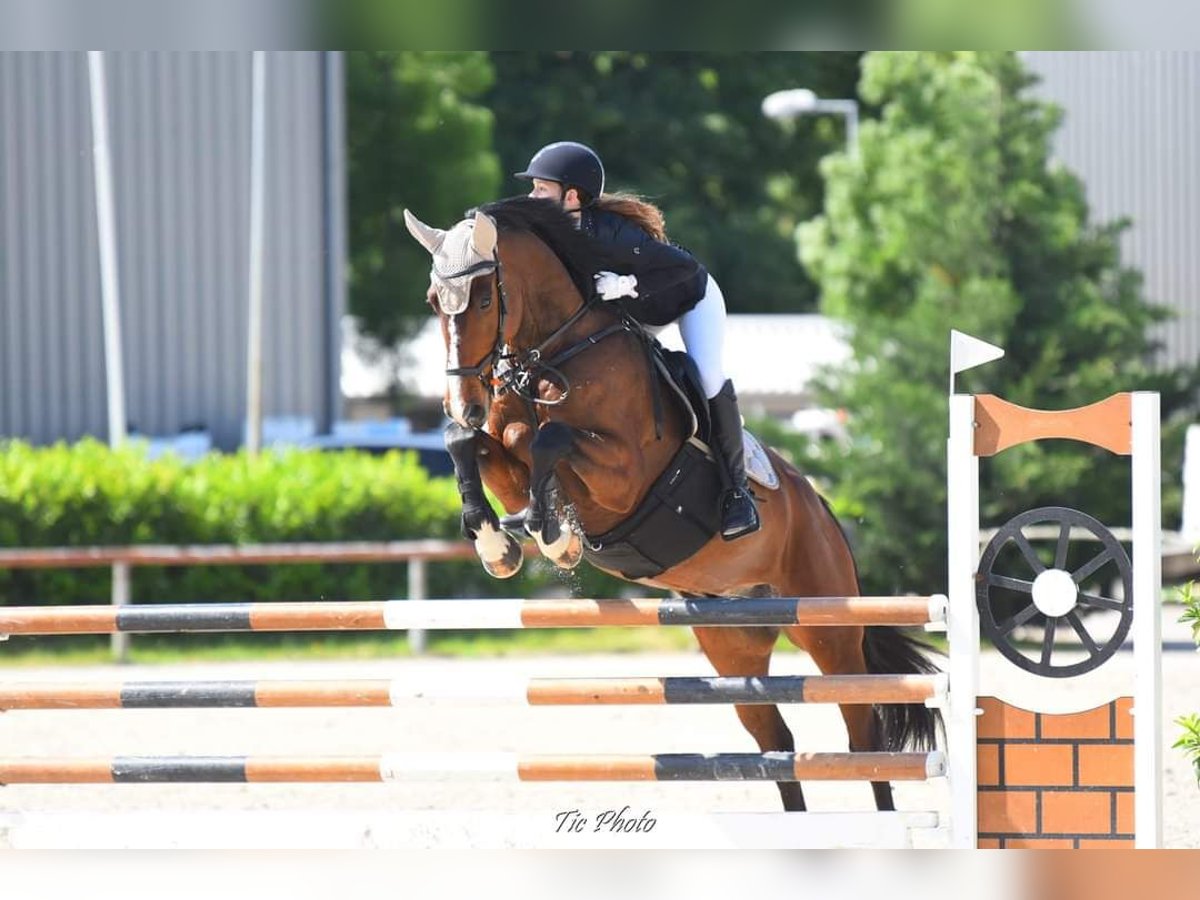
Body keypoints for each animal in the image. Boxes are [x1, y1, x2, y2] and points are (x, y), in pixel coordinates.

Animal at [403, 194, 936, 816]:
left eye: (486, 298)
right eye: (433, 301)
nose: (461, 402)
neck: (555, 354)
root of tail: (824, 509)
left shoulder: (623, 476)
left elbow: (549, 439)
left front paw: (556, 537)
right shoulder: (506, 450)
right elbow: (476, 442)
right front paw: (497, 543)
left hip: (829, 629)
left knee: (863, 735)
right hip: (731, 644)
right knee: (775, 742)